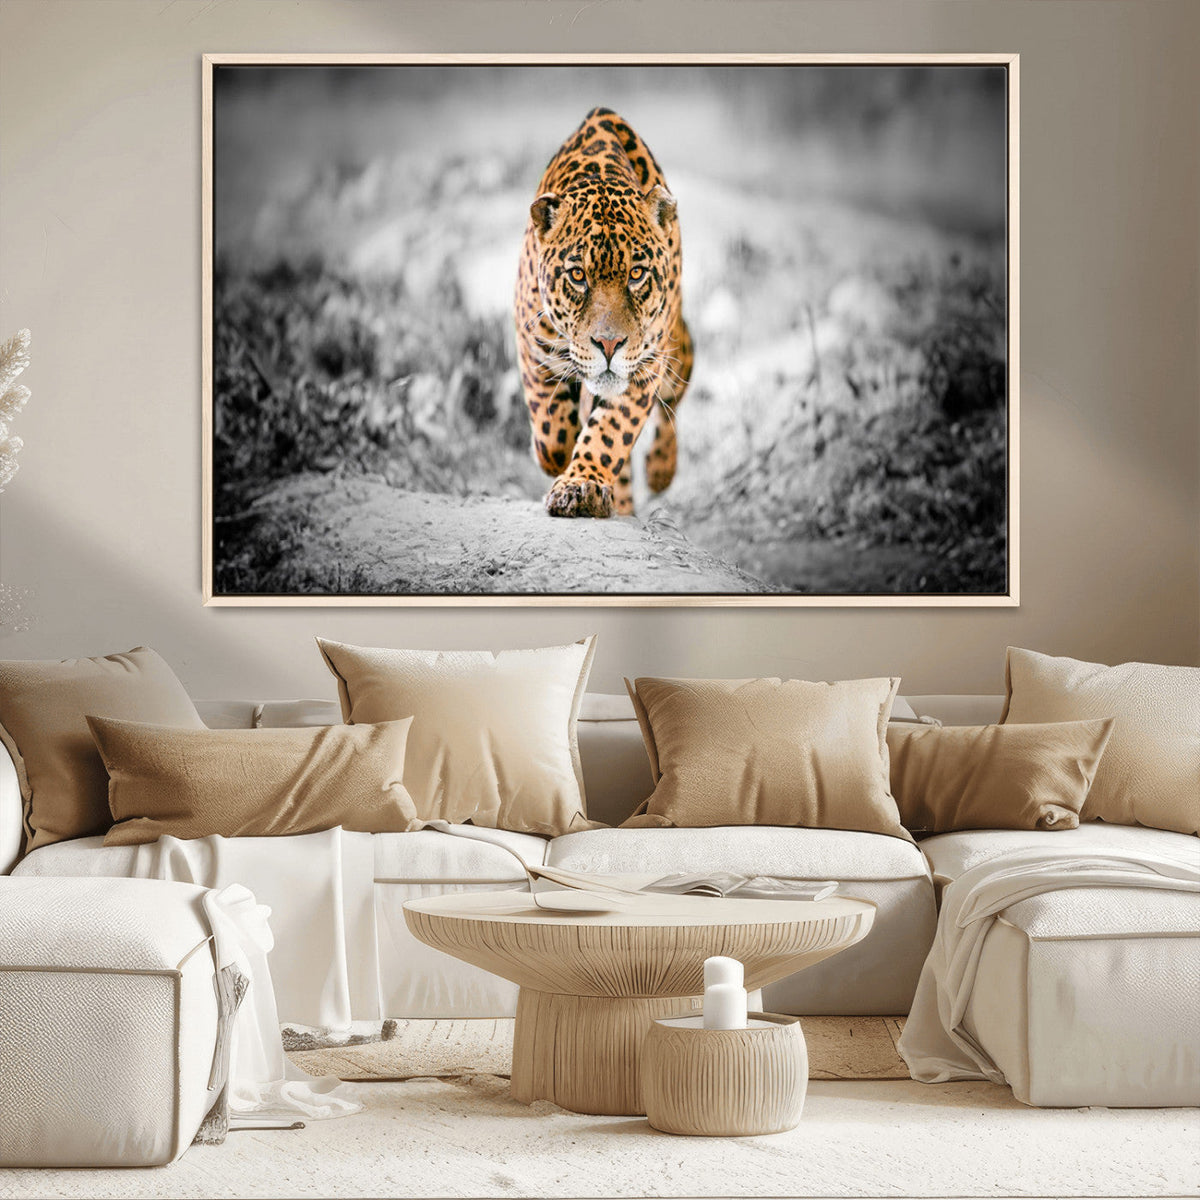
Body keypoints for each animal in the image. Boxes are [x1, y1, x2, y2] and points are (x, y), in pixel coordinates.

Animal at [514, 107, 693, 518]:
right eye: (578, 276)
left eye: (637, 274)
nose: (609, 345)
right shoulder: (532, 343)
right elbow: (551, 431)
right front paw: (557, 458)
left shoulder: (645, 365)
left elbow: (610, 432)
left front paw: (581, 485)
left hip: (677, 348)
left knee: (672, 403)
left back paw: (660, 470)